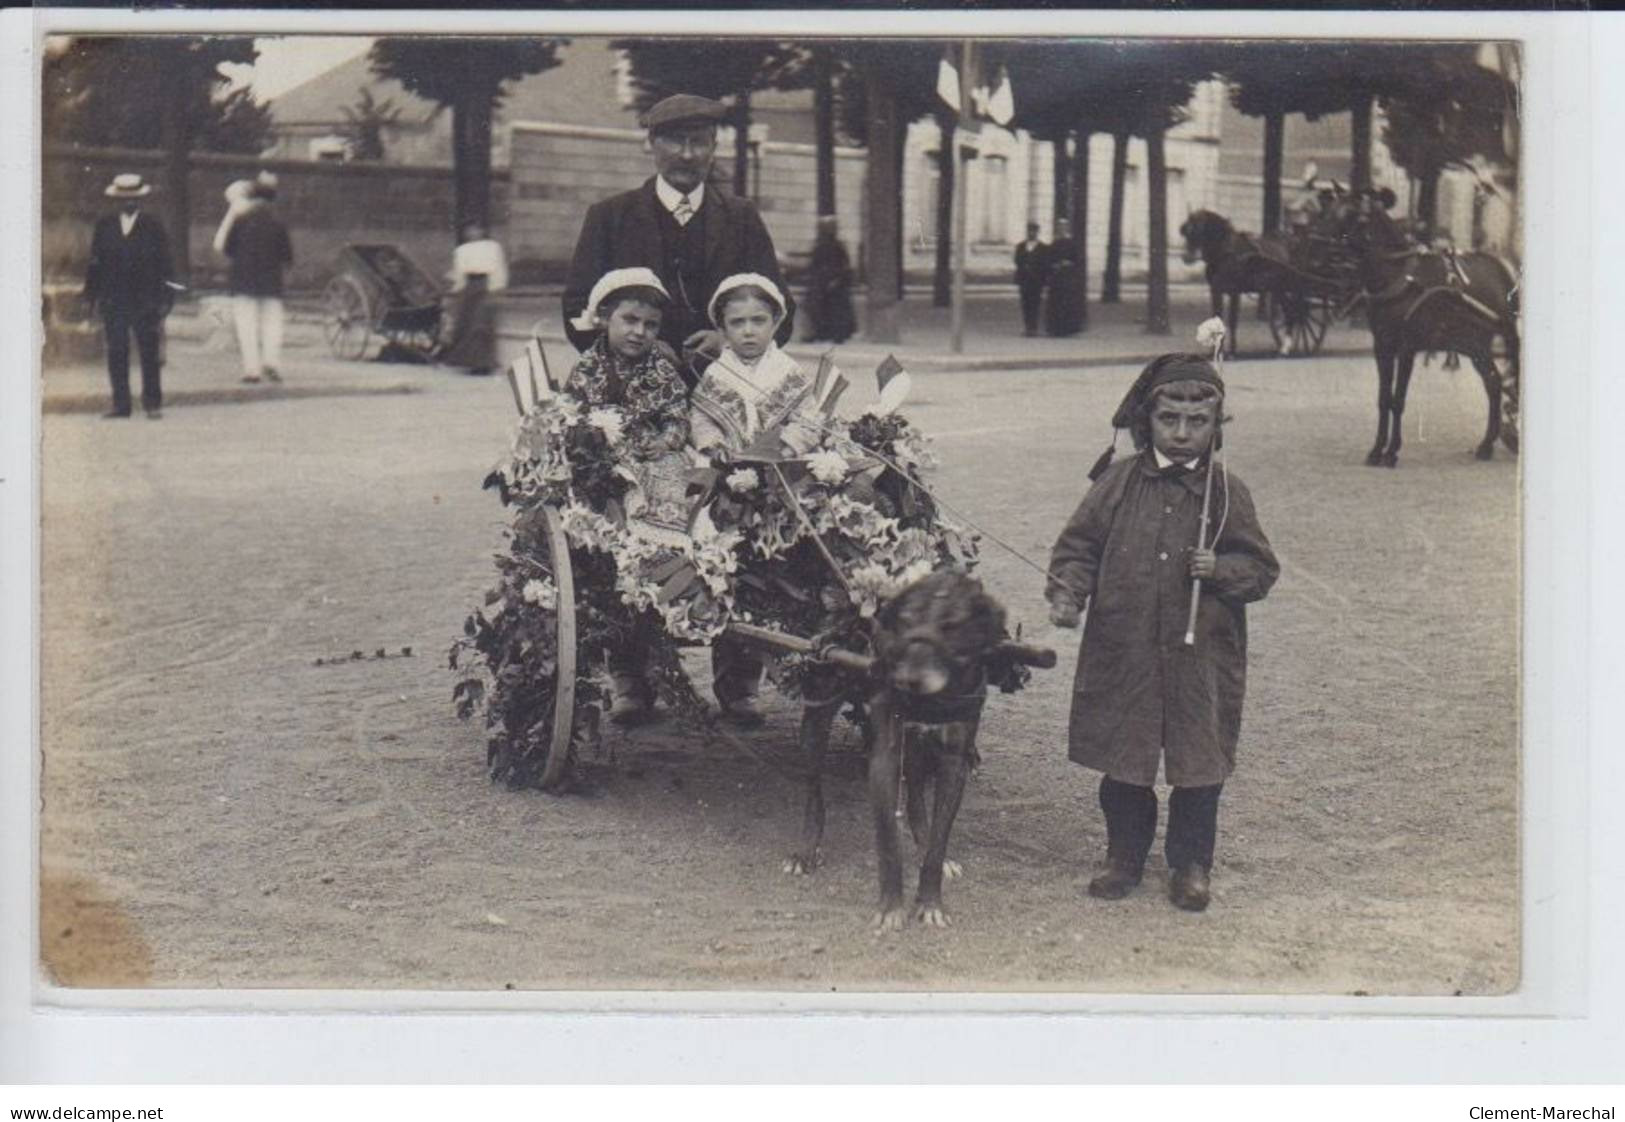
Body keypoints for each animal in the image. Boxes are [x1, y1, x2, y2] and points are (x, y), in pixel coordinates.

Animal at [783, 572, 1007, 930]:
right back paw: (805, 850)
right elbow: (888, 840)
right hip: (817, 718)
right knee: (813, 789)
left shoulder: (954, 761)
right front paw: (890, 908)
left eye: (952, 625)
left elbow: (939, 840)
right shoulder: (884, 759)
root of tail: (850, 607)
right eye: (906, 621)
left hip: (916, 747)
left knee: (915, 796)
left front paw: (930, 901)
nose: (910, 679)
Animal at [1183, 206, 1293, 354]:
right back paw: (1281, 343)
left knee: (1289, 311)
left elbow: (1232, 321)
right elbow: (1218, 319)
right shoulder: (1215, 291)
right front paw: (1216, 350)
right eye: (1186, 231)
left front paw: (1232, 351)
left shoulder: (1235, 292)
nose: (1186, 257)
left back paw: (1286, 345)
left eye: (1198, 230)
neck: (1224, 252)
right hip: (1275, 290)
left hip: (1280, 289)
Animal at [1326, 190, 1514, 461]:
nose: (1330, 255)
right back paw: (1486, 444)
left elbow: (1398, 400)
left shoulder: (1407, 347)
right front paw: (1377, 450)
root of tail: (1500, 267)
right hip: (1474, 344)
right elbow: (1384, 398)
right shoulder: (1382, 346)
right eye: (1330, 212)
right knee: (1494, 383)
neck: (1399, 278)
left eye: (1356, 217)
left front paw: (1391, 451)